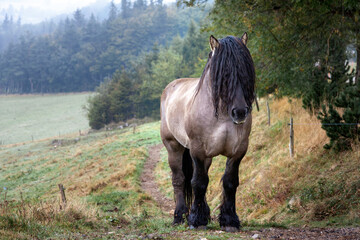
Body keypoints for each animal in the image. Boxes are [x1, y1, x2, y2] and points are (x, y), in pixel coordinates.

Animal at [160, 32, 256, 232]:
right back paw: (179, 216)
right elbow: (198, 182)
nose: (240, 112)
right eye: (224, 73)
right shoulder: (197, 150)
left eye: (245, 71)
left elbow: (229, 182)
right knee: (179, 179)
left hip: (208, 156)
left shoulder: (239, 150)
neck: (222, 115)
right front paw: (195, 220)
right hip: (174, 147)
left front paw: (229, 221)